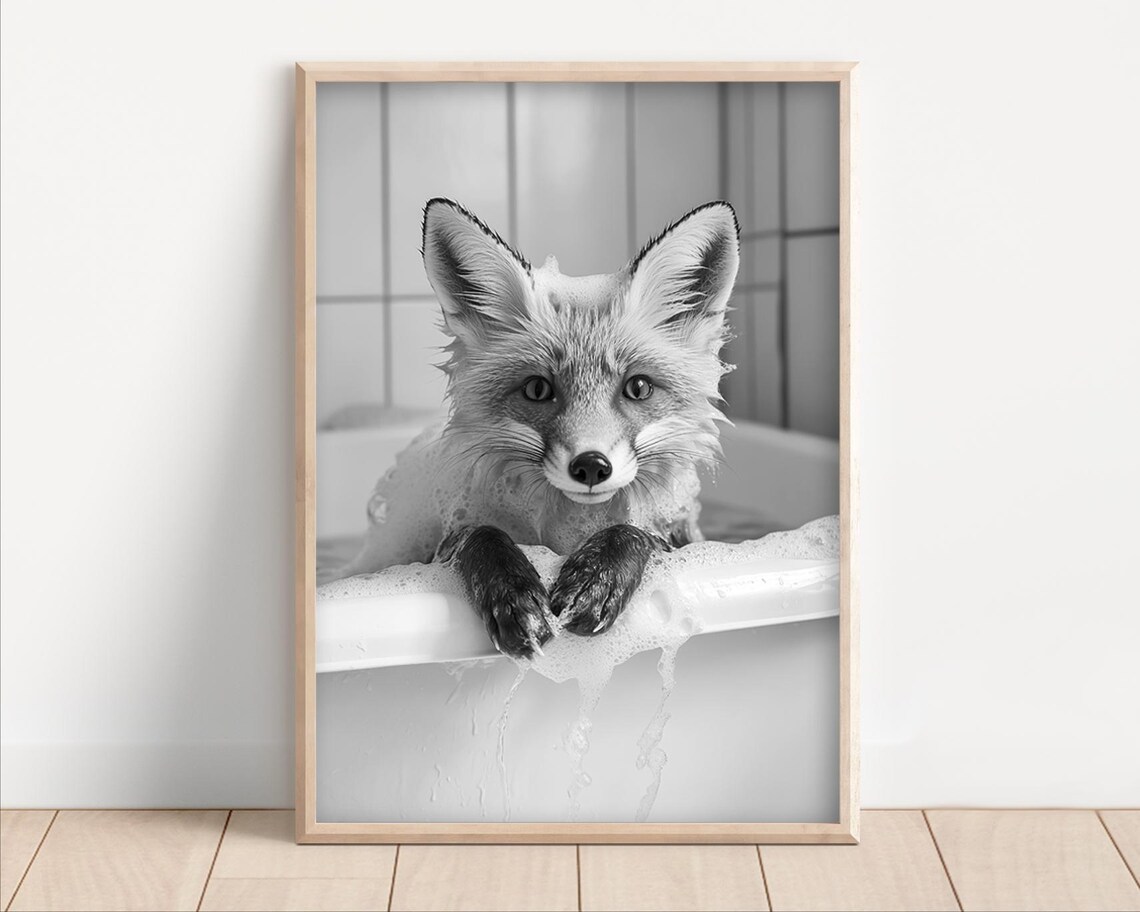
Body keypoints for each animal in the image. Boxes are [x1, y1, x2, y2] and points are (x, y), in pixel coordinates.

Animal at [332, 197, 741, 659]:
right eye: (537, 388)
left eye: (638, 387)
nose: (591, 466)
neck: (573, 525)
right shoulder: (442, 542)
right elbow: (480, 534)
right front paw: (513, 594)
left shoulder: (684, 537)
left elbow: (638, 531)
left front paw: (598, 577)